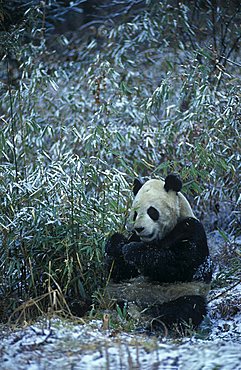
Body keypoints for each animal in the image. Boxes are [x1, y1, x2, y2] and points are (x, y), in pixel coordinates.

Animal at [104, 173, 212, 332]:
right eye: (135, 213)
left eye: (152, 211)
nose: (140, 228)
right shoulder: (134, 237)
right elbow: (118, 270)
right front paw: (117, 244)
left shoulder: (191, 229)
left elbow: (179, 264)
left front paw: (132, 250)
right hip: (118, 291)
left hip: (182, 292)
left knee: (184, 309)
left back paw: (156, 325)